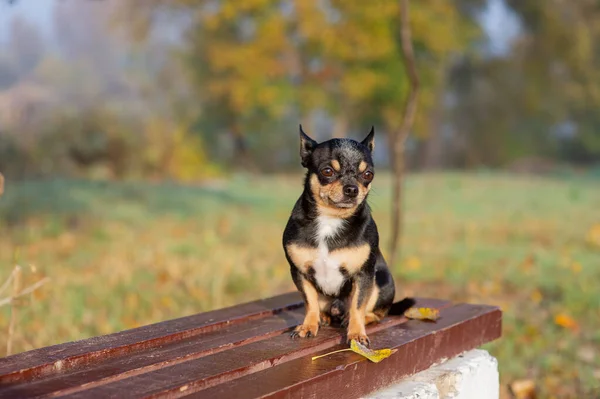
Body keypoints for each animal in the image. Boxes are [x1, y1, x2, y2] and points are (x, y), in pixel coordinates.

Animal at [284, 126, 414, 346]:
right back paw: (323, 317)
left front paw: (356, 333)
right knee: (322, 306)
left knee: (375, 313)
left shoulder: (363, 275)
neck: (331, 218)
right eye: (328, 171)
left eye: (368, 175)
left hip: (381, 280)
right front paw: (308, 326)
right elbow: (310, 302)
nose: (352, 188)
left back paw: (351, 319)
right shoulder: (300, 273)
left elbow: (358, 306)